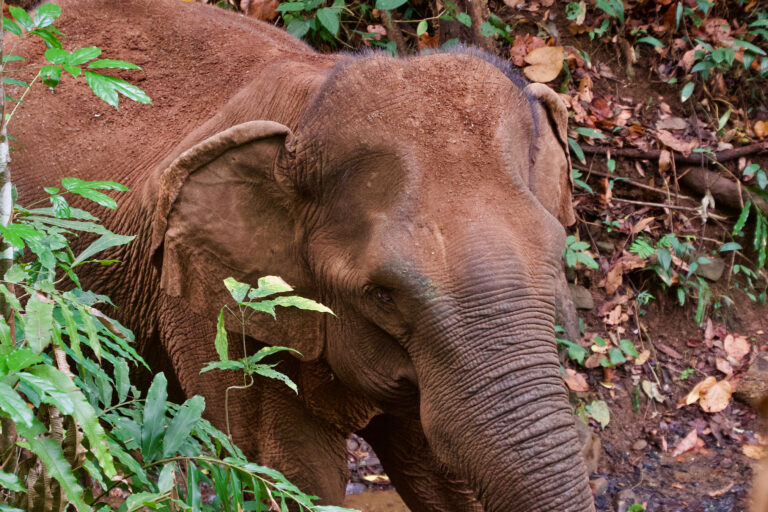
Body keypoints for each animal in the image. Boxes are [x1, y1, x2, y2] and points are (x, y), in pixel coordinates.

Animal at [15, 1, 596, 512]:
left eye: (556, 255)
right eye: (381, 295)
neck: (312, 101)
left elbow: (441, 470)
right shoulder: (211, 311)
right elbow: (289, 471)